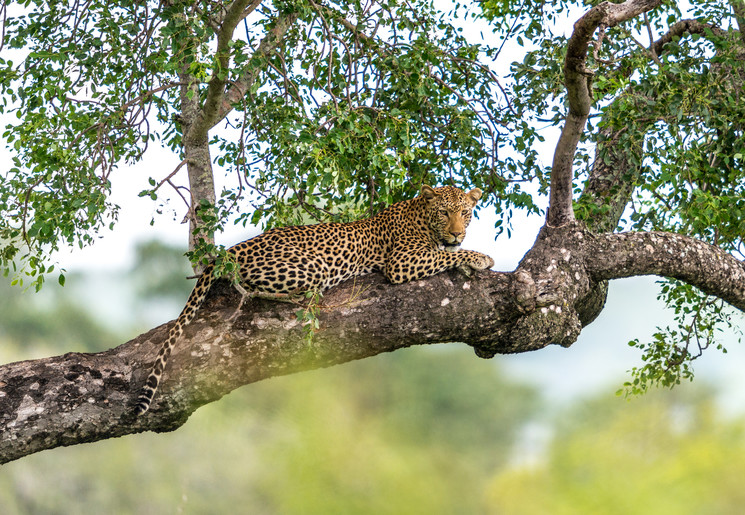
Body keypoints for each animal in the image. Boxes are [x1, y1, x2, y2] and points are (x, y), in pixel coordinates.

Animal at [135, 185, 494, 416]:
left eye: (465, 213)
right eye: (444, 212)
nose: (457, 232)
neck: (421, 216)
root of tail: (237, 247)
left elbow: (447, 254)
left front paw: (467, 254)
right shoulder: (402, 261)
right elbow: (444, 255)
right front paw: (480, 257)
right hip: (312, 266)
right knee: (256, 290)